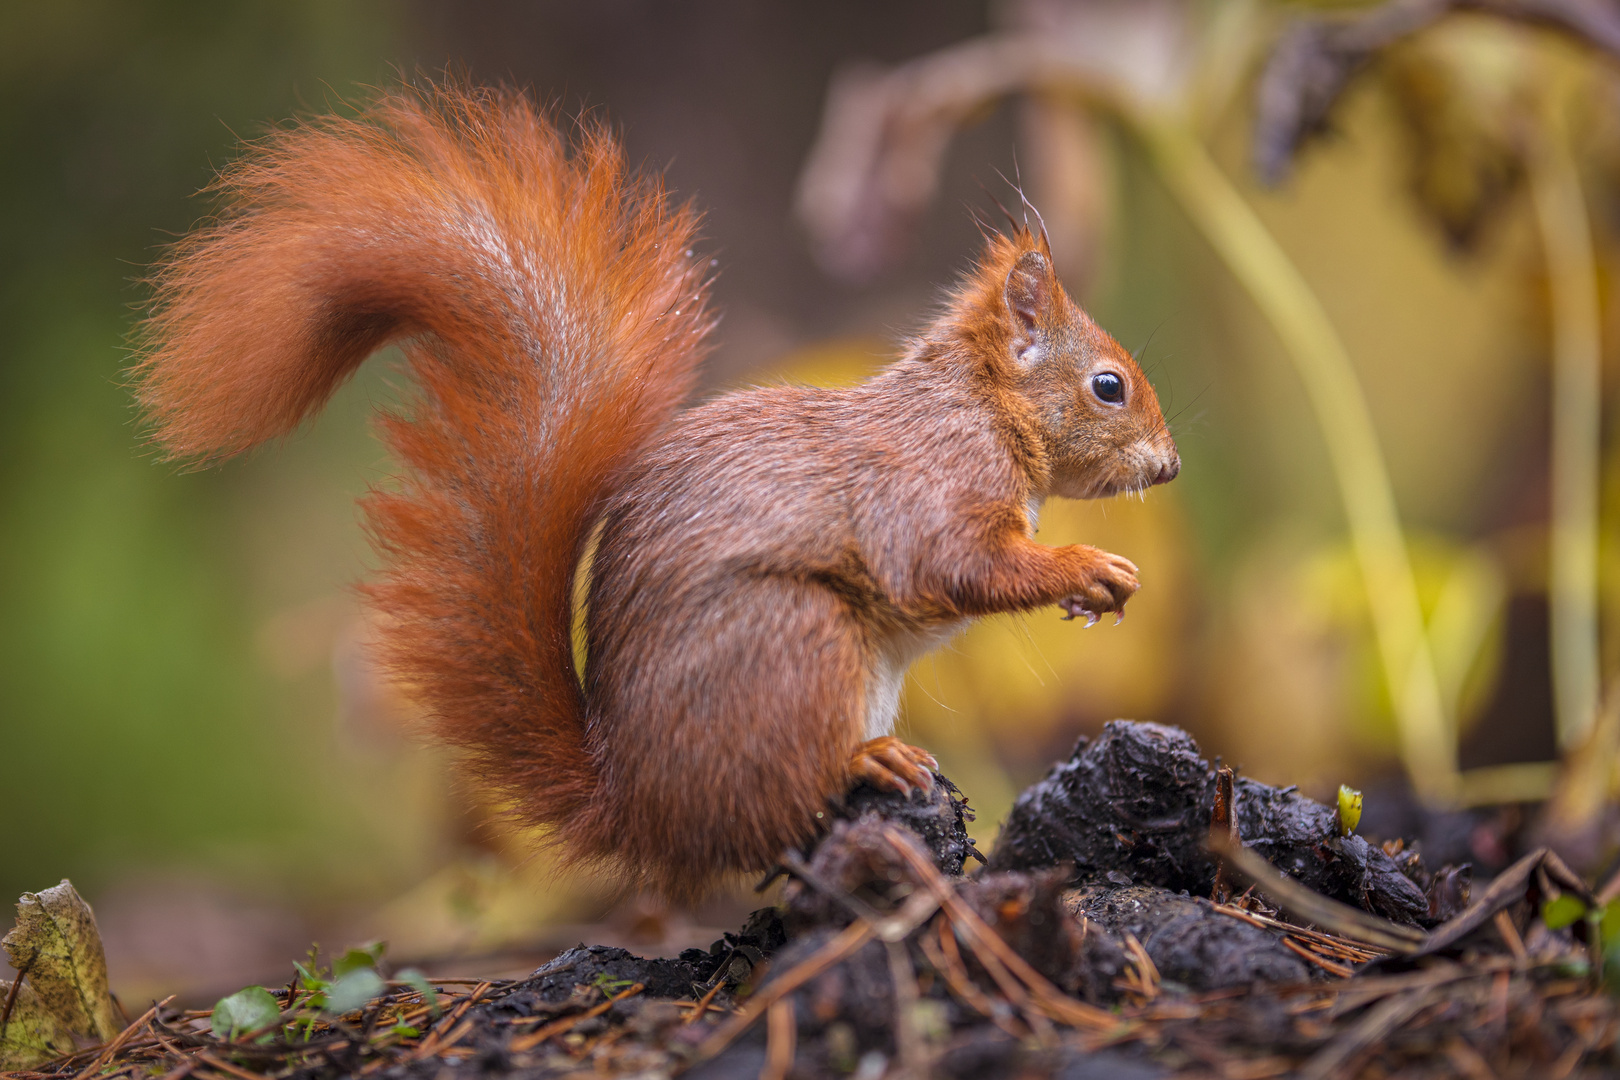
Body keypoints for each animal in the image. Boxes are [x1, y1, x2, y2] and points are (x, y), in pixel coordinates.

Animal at [135, 82, 1180, 900]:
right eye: (1109, 386)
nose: (1169, 466)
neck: (982, 406)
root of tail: (638, 806)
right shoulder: (930, 481)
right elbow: (953, 563)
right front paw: (1089, 568)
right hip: (797, 643)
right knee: (775, 808)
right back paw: (864, 761)